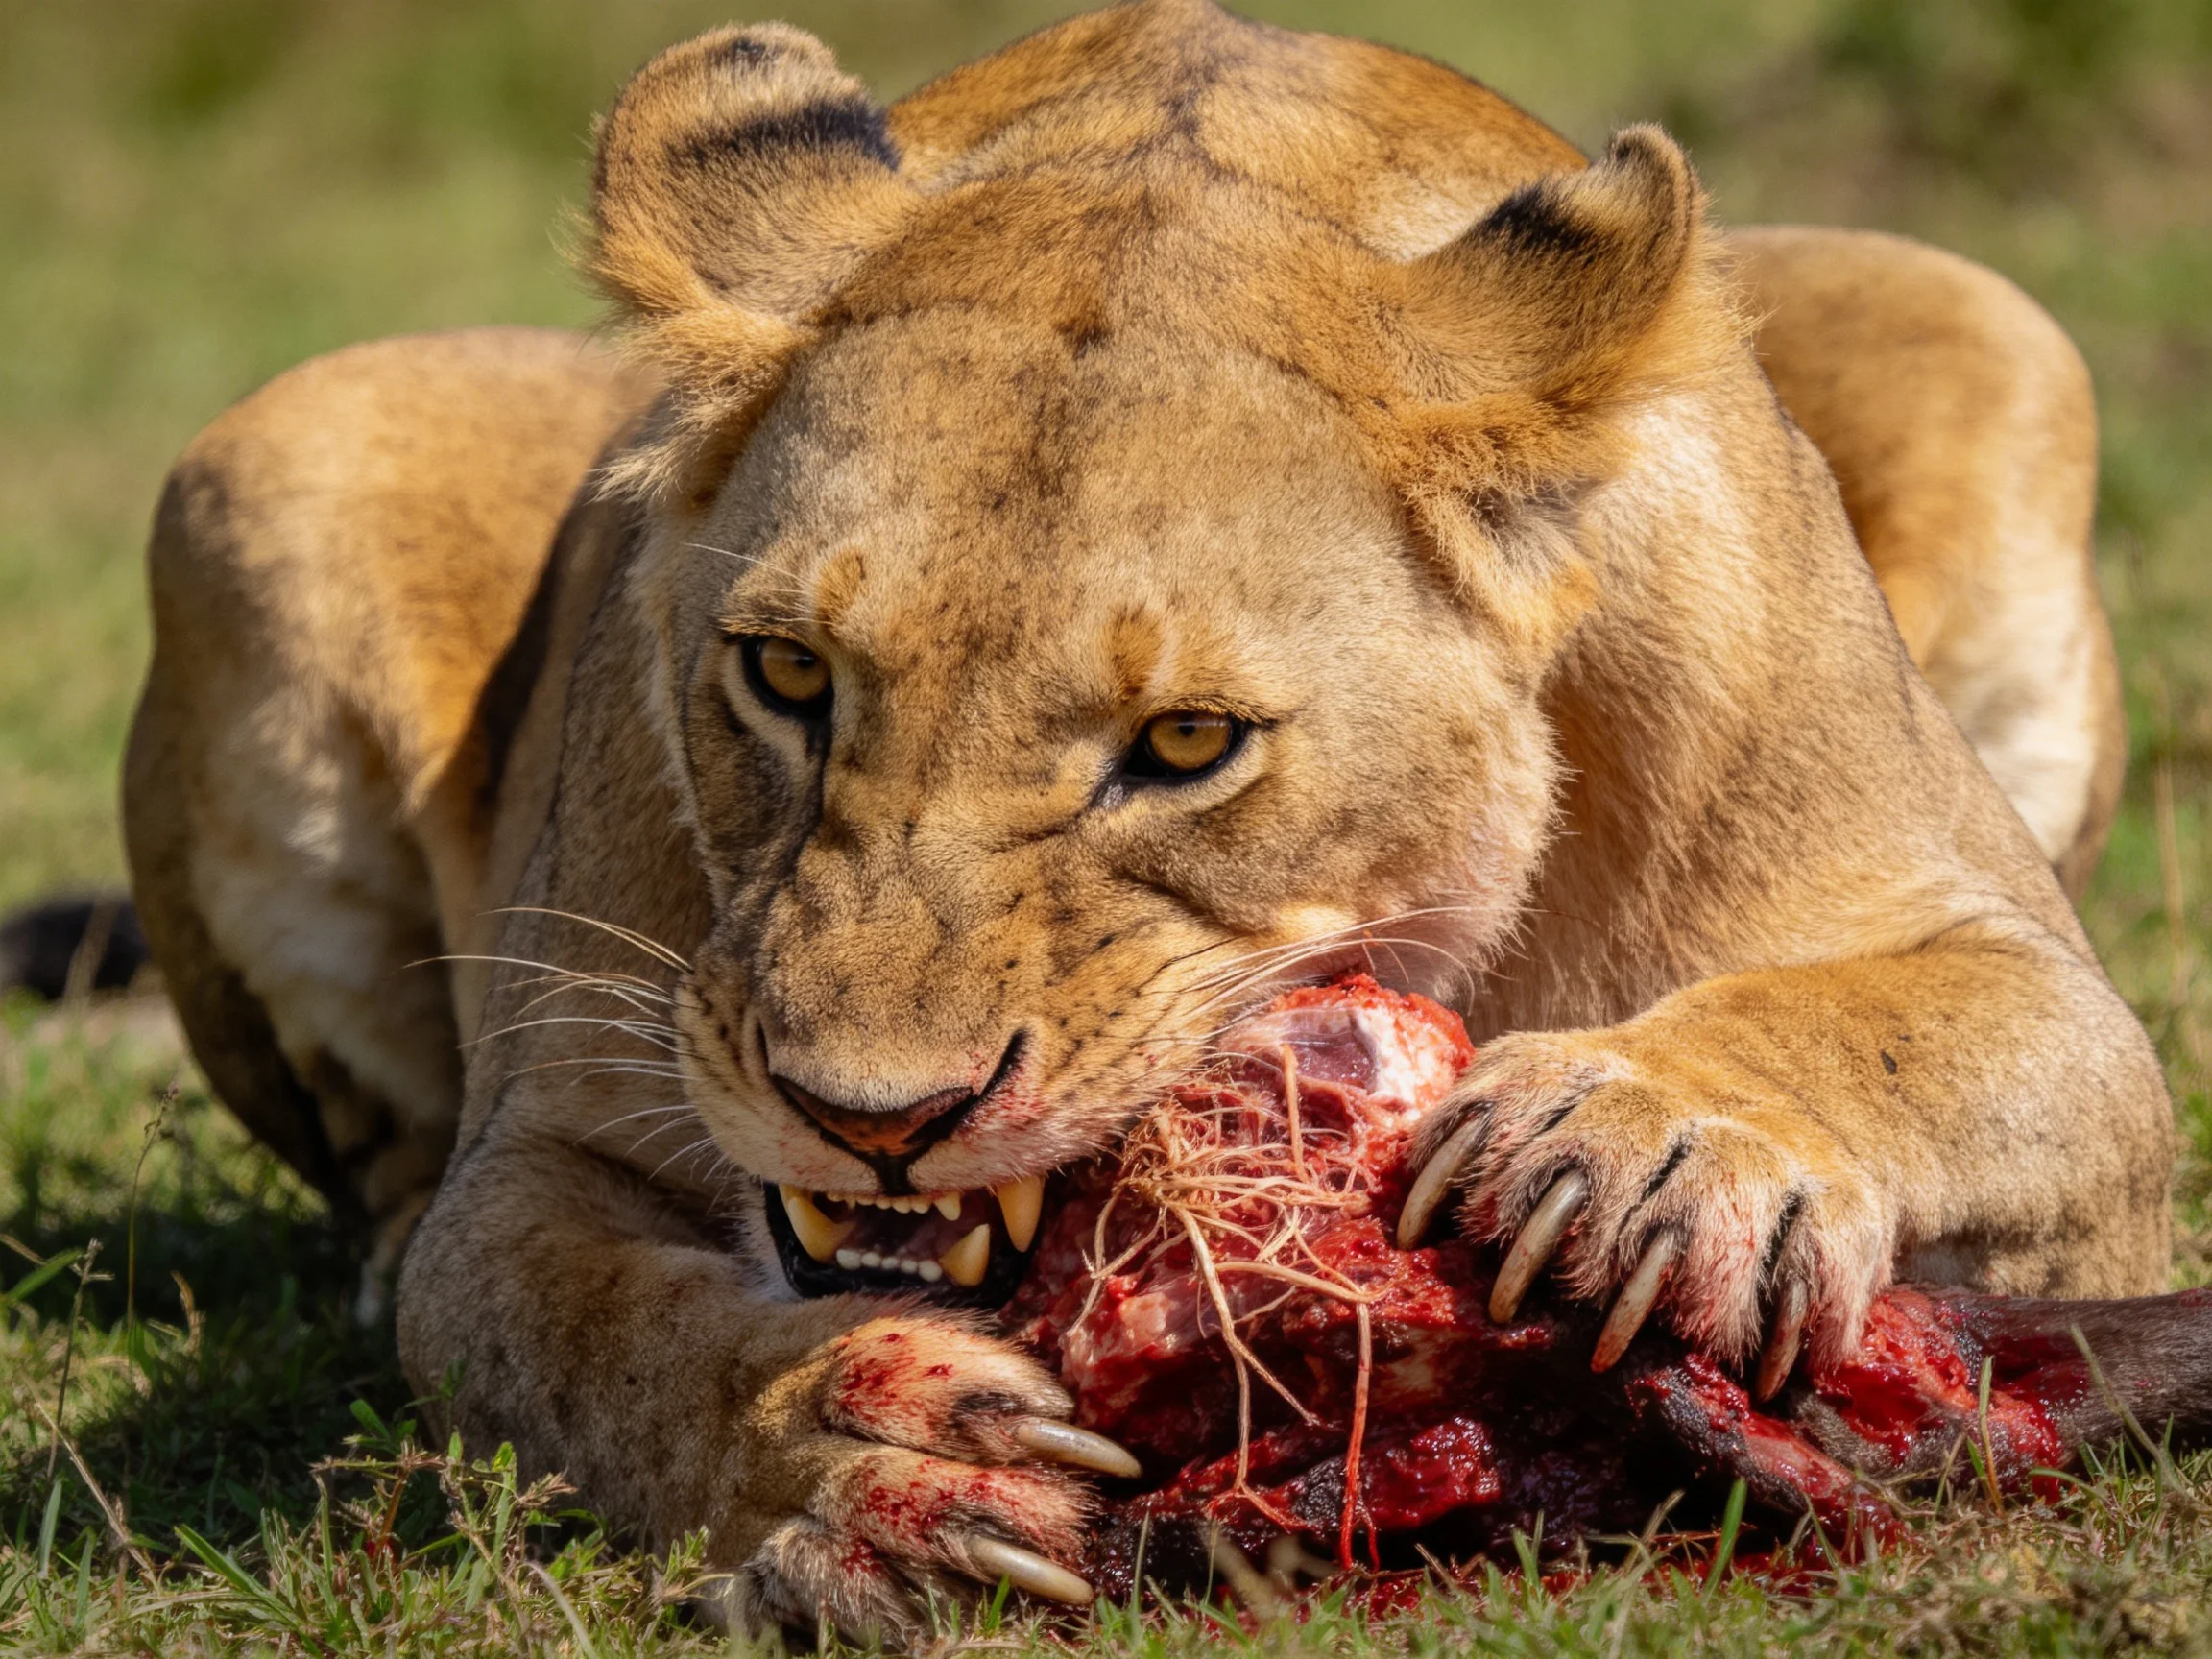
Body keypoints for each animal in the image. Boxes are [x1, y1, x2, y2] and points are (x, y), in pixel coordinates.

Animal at [121, 0, 2166, 1638]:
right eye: (786, 674)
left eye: (1185, 740)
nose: (870, 1118)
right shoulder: (544, 1151)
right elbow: (587, 1330)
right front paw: (852, 1448)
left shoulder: (2059, 1018)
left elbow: (1906, 1016)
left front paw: (1643, 1138)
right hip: (269, 450)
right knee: (391, 1195)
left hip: (1981, 321)